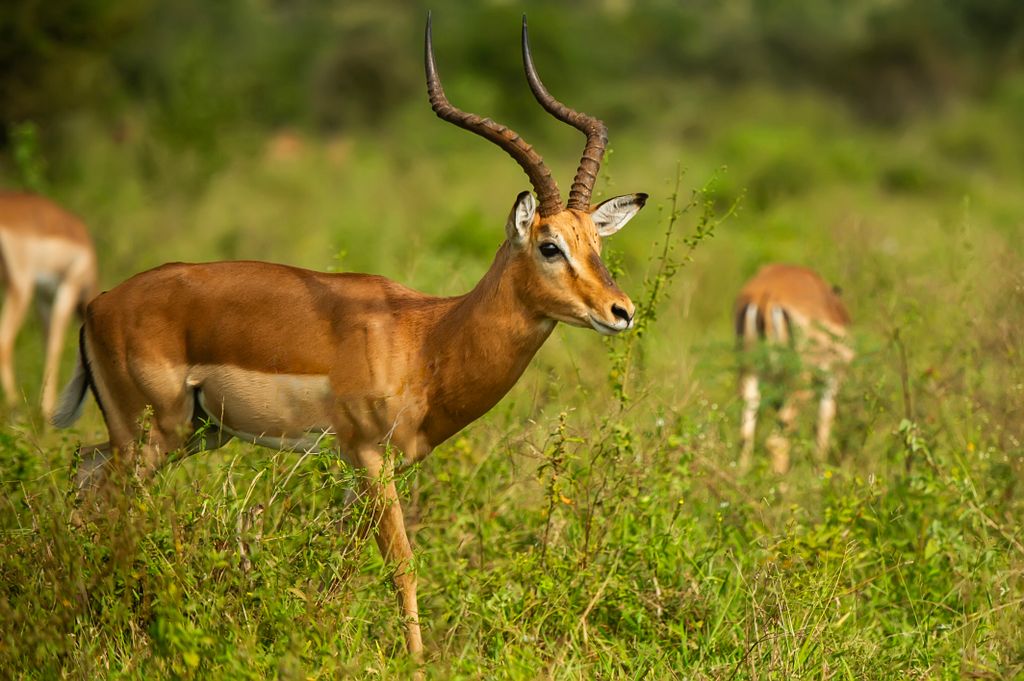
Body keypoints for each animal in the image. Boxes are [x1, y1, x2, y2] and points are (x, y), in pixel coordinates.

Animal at [0, 192, 98, 418]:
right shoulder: (67, 291)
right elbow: (55, 346)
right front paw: (47, 410)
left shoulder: (44, 300)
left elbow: (47, 345)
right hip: (21, 288)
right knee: (4, 341)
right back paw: (14, 407)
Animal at [52, 15, 647, 660]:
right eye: (549, 245)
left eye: (596, 242)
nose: (621, 311)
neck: (427, 338)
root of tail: (99, 304)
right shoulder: (366, 454)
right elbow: (401, 563)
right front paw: (416, 662)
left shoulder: (382, 463)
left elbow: (343, 556)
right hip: (152, 434)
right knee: (107, 506)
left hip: (191, 433)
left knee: (84, 473)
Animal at [735, 264, 853, 474]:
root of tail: (766, 296)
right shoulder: (832, 377)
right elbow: (824, 421)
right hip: (798, 383)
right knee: (777, 441)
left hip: (750, 375)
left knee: (745, 437)